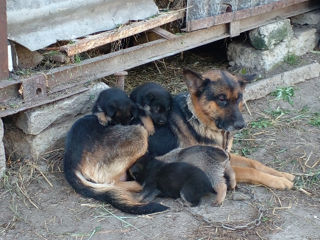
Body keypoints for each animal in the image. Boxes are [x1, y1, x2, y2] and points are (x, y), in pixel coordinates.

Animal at [148, 68, 296, 189]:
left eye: (239, 98)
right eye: (221, 99)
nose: (241, 125)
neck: (200, 120)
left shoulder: (226, 155)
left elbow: (254, 163)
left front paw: (281, 174)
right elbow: (251, 171)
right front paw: (278, 181)